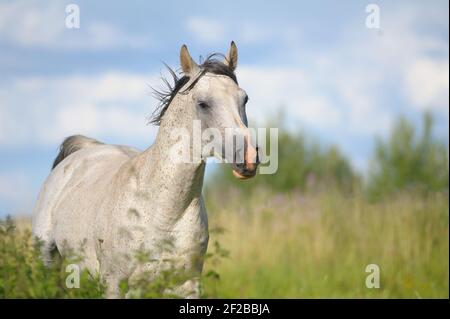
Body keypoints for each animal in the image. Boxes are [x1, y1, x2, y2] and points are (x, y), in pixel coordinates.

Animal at [31, 41, 258, 298]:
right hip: (48, 261)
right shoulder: (114, 284)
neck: (163, 214)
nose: (249, 158)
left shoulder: (185, 285)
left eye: (244, 99)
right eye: (203, 104)